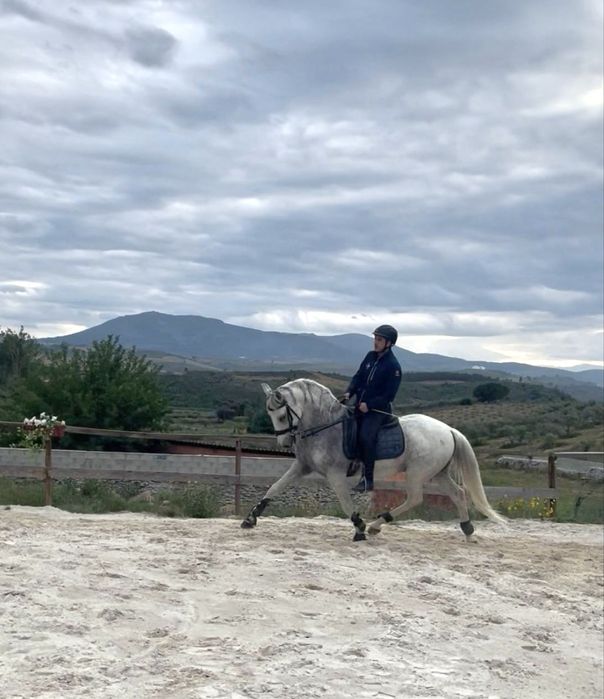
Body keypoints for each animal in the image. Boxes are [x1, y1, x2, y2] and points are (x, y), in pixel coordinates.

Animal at [241, 378, 506, 541]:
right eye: (270, 415)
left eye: (281, 415)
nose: (284, 444)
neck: (323, 425)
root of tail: (449, 430)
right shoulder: (301, 466)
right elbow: (275, 487)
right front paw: (250, 518)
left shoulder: (336, 475)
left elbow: (346, 503)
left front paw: (359, 528)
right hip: (438, 474)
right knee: (458, 494)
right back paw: (468, 530)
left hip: (417, 472)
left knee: (415, 498)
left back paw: (376, 525)